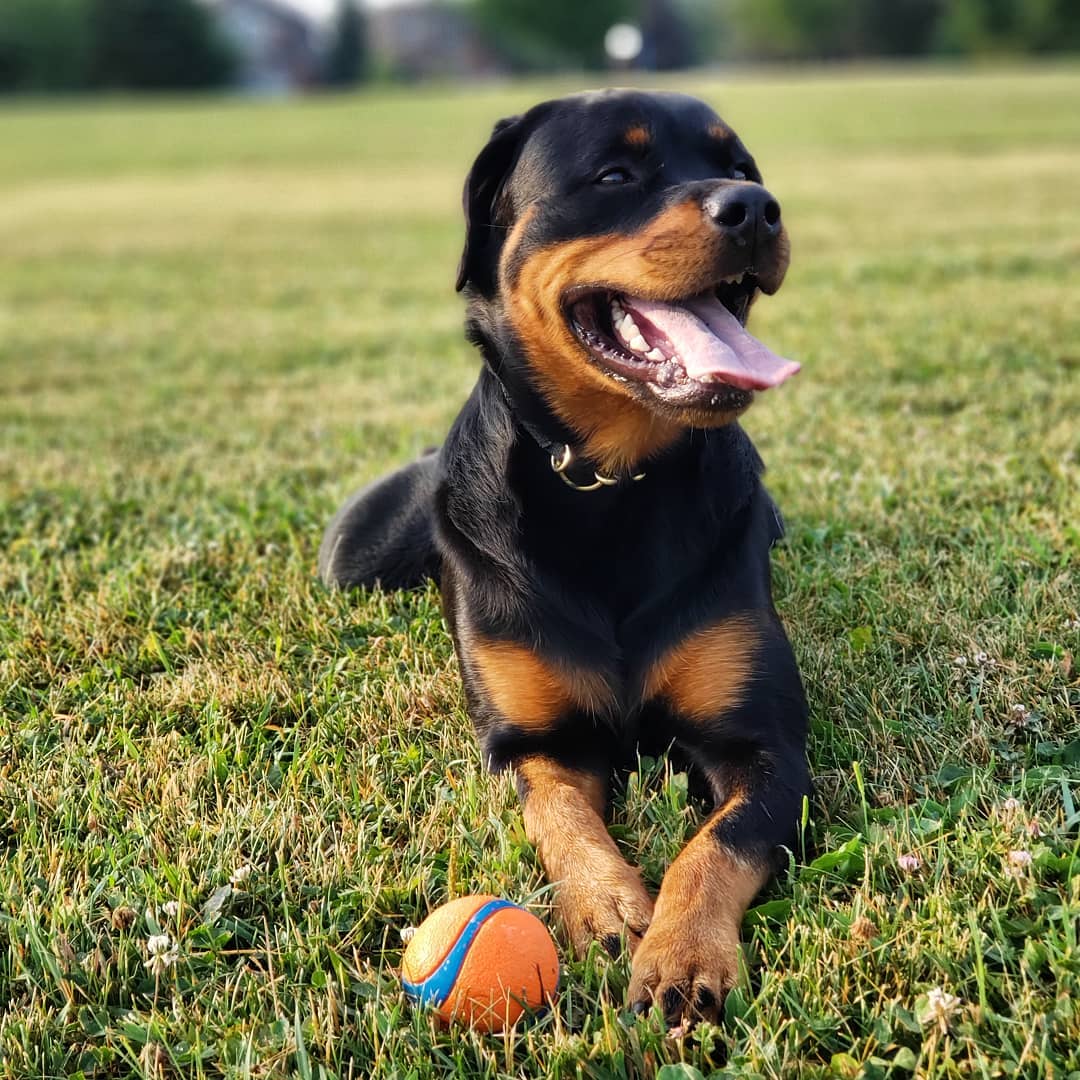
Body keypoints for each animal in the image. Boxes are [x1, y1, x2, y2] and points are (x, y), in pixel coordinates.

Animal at [319, 88, 812, 1023]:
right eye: (613, 175)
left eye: (740, 168)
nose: (758, 208)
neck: (611, 485)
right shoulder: (530, 739)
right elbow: (558, 813)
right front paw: (607, 901)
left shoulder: (767, 744)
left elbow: (717, 844)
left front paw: (683, 953)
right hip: (354, 557)